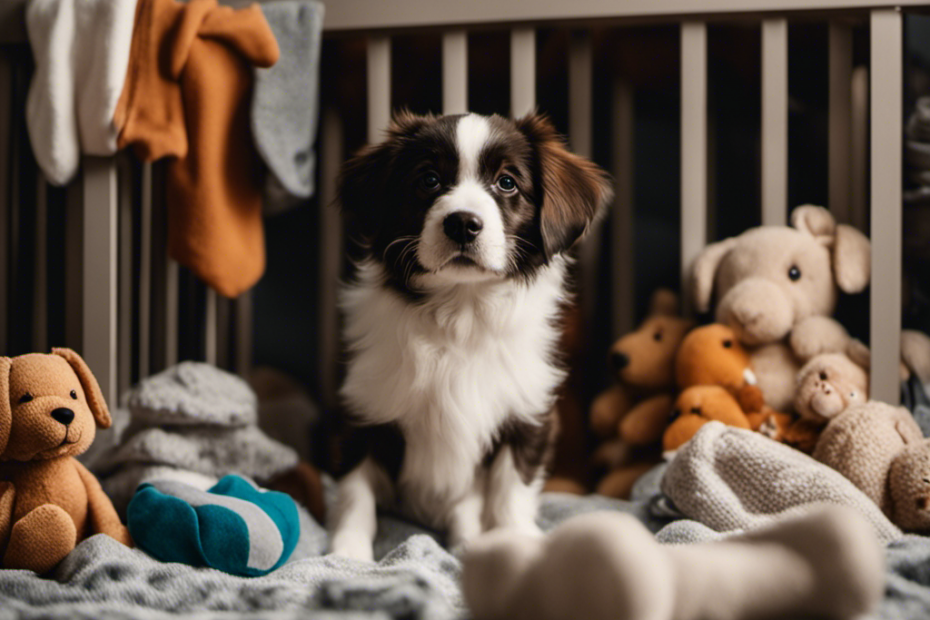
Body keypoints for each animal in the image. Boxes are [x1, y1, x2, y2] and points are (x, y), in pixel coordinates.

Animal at [330, 112, 612, 560]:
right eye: (428, 179)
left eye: (507, 182)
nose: (462, 223)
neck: (462, 310)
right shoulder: (362, 409)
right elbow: (355, 491)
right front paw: (348, 553)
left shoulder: (527, 412)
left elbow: (512, 488)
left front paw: (519, 539)